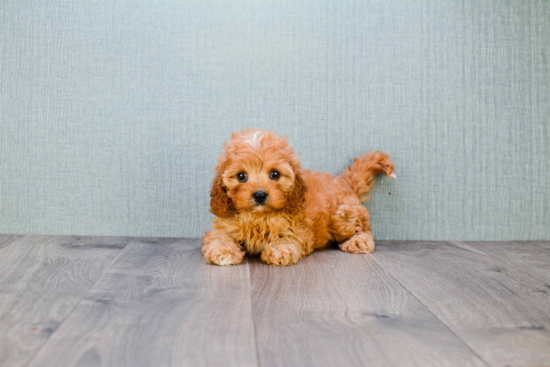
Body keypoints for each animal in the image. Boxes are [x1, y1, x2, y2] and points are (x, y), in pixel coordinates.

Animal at [203, 129, 396, 268]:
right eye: (241, 176)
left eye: (275, 174)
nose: (259, 195)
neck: (258, 217)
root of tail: (342, 180)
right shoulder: (224, 225)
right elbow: (219, 237)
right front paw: (222, 251)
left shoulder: (298, 230)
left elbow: (288, 239)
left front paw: (280, 251)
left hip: (341, 217)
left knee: (364, 229)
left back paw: (359, 241)